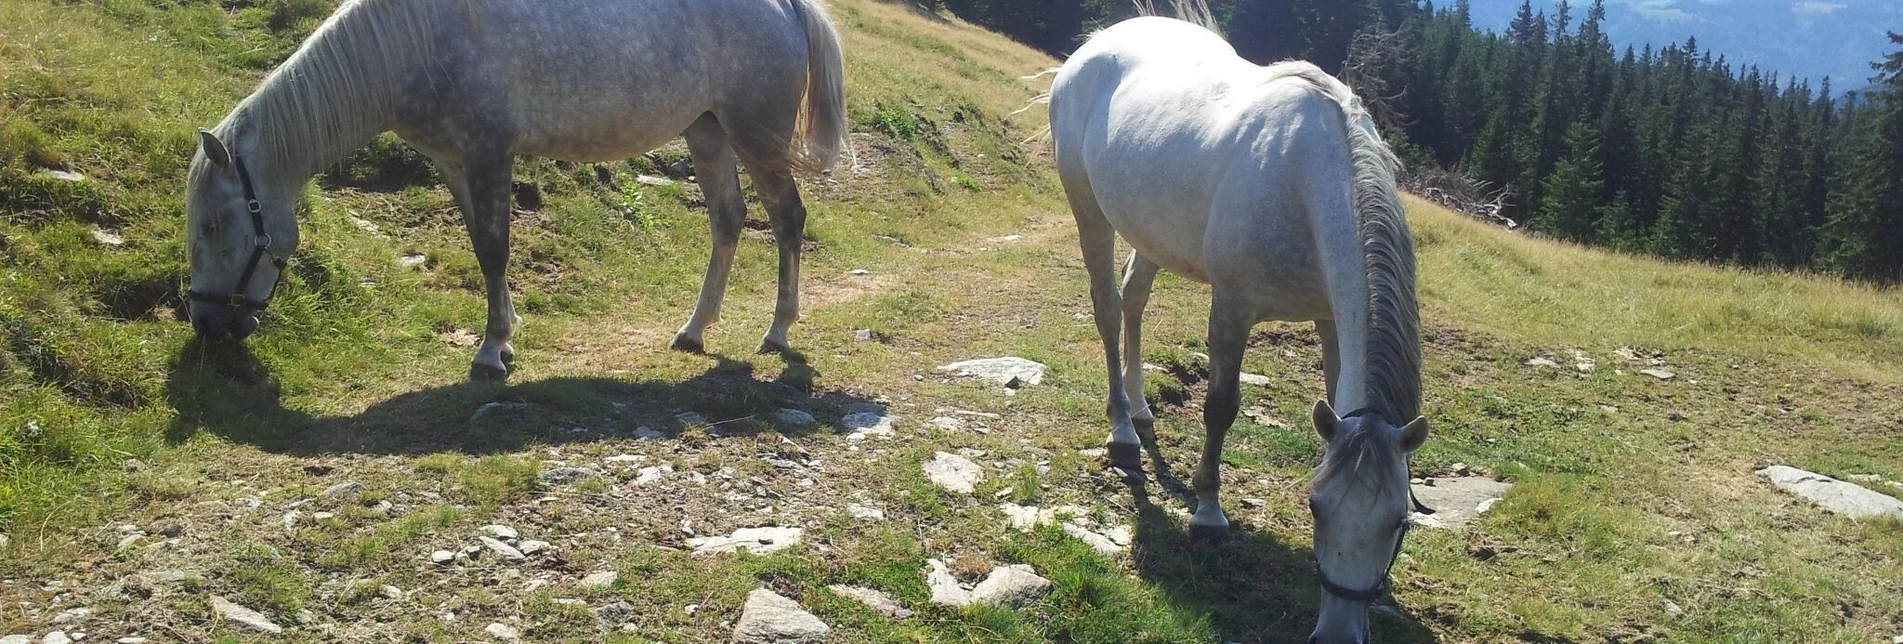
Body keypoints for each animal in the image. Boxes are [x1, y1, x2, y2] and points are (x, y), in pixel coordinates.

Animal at [183, 0, 841, 379]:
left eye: (214, 225)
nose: (208, 324)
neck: (413, 47)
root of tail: (786, 7)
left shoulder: (489, 155)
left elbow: (498, 251)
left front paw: (490, 351)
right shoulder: (455, 163)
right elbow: (482, 248)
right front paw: (504, 339)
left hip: (755, 136)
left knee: (787, 218)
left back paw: (778, 330)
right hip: (707, 133)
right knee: (728, 219)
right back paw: (695, 331)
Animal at [1050, 15, 1431, 644]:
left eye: (1398, 522)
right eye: (1315, 507)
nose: (1337, 634)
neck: (1303, 183)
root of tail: (1100, 40)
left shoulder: (1331, 319)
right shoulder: (1233, 304)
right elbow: (1221, 406)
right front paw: (1208, 514)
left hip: (1151, 229)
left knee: (1134, 300)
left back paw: (1141, 410)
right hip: (1089, 210)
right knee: (1108, 307)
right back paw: (1123, 430)